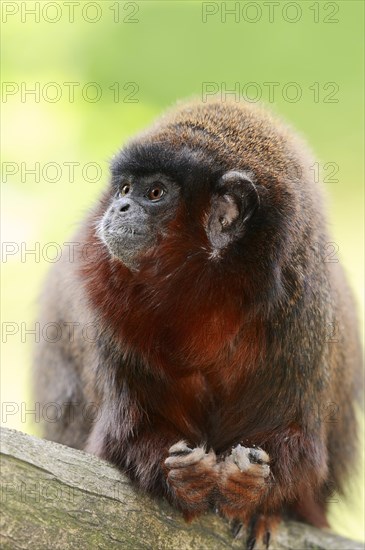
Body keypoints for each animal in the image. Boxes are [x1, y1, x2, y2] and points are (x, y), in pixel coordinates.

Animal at [34, 101, 362, 548]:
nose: (118, 209)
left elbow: (303, 448)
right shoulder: (110, 321)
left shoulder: (304, 314)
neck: (210, 296)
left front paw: (250, 487)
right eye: (124, 190)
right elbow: (126, 435)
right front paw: (183, 477)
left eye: (155, 193)